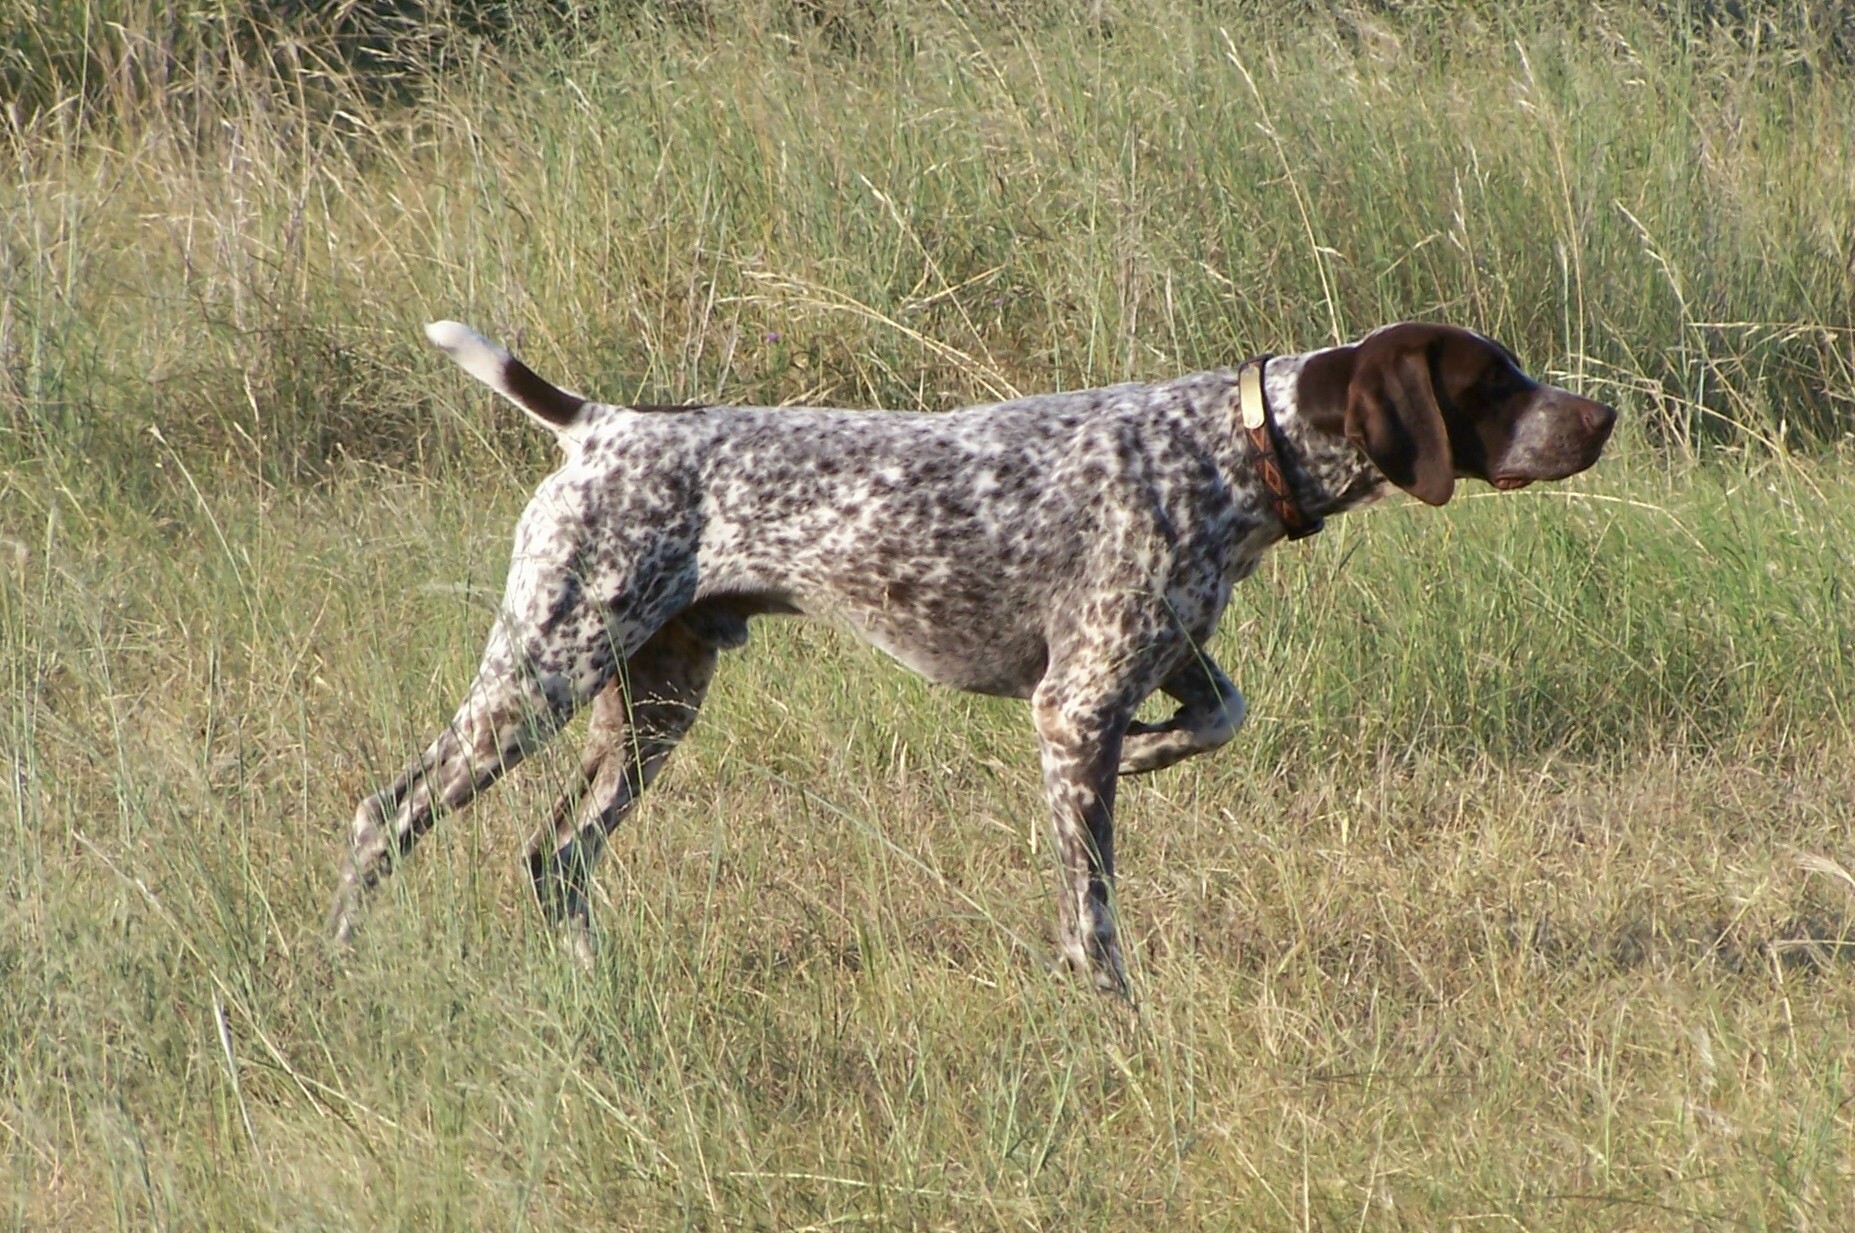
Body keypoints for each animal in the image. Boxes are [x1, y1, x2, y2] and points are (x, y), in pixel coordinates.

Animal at [333, 318, 1610, 993]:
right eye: (1493, 382)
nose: (1599, 418)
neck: (1234, 450)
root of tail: (599, 423)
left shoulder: (1150, 660)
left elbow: (1220, 715)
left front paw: (1153, 756)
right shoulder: (1074, 703)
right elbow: (1092, 909)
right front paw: (1109, 1008)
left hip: (651, 704)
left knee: (557, 856)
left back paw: (592, 980)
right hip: (540, 676)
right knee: (383, 816)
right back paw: (338, 967)